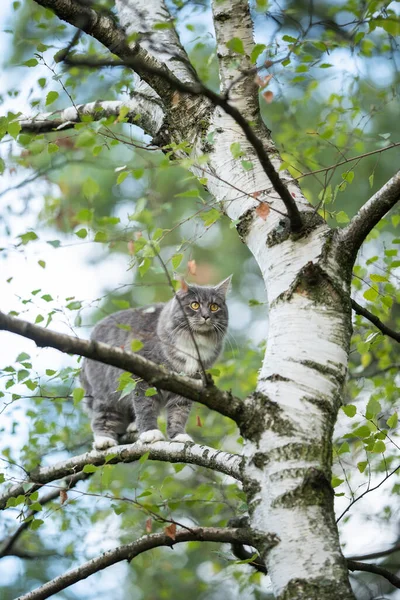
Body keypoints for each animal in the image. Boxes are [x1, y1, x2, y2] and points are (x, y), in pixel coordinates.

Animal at [80, 274, 231, 448]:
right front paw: (150, 432)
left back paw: (133, 427)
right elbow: (145, 407)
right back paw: (104, 440)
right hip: (107, 393)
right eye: (195, 305)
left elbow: (178, 413)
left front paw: (178, 435)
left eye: (214, 307)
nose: (206, 316)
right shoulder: (143, 378)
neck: (194, 344)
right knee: (103, 417)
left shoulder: (188, 385)